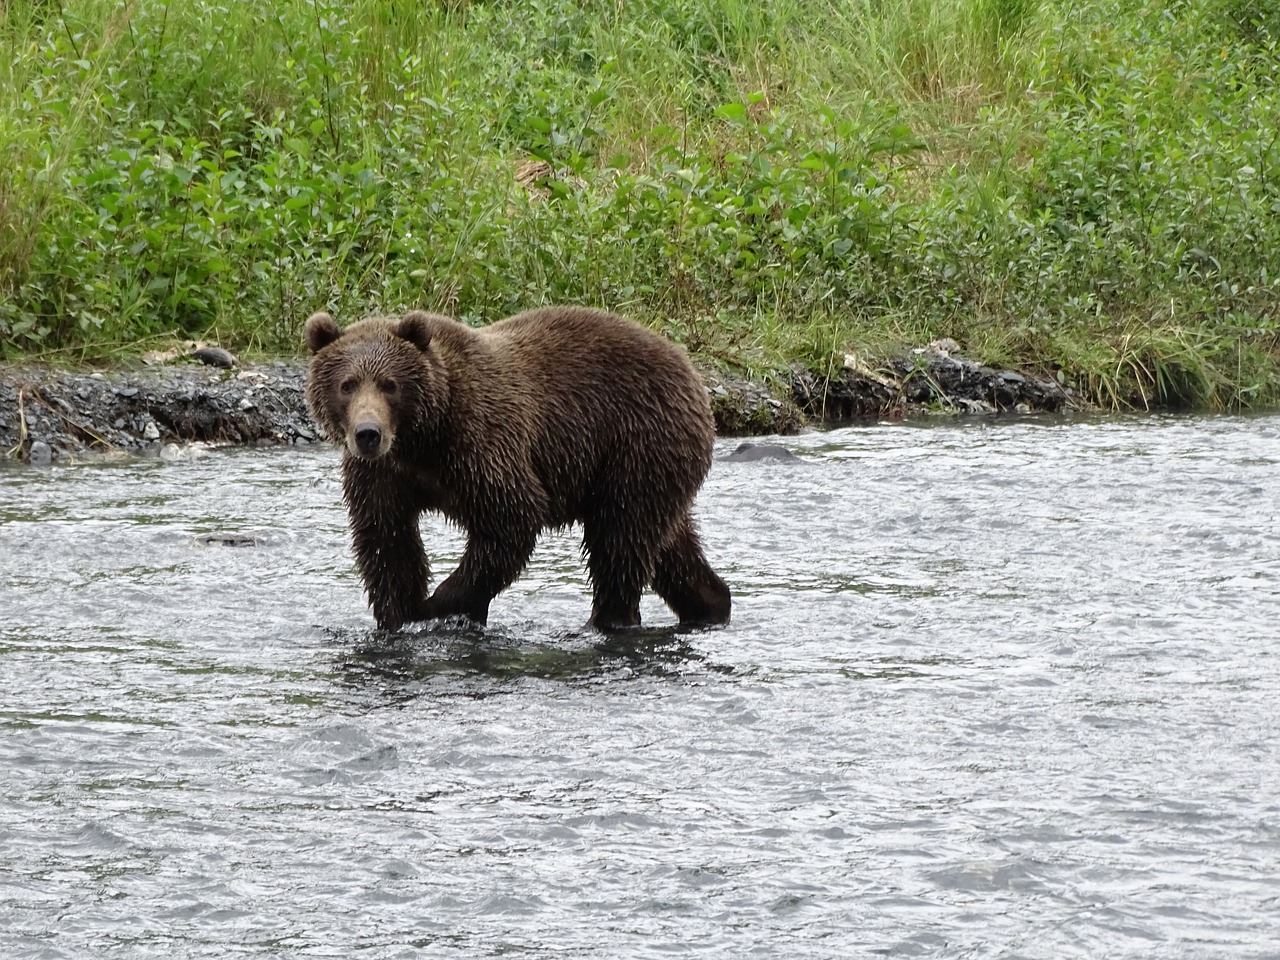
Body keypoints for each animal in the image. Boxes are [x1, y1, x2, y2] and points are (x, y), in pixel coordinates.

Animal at [300, 308, 737, 634]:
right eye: (347, 384)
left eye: (389, 384)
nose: (367, 434)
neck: (422, 440)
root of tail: (690, 369)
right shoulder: (384, 476)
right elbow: (386, 540)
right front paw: (400, 614)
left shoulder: (481, 445)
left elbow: (511, 520)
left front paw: (437, 607)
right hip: (652, 466)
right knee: (667, 544)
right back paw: (710, 604)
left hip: (636, 443)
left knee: (619, 541)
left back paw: (607, 621)